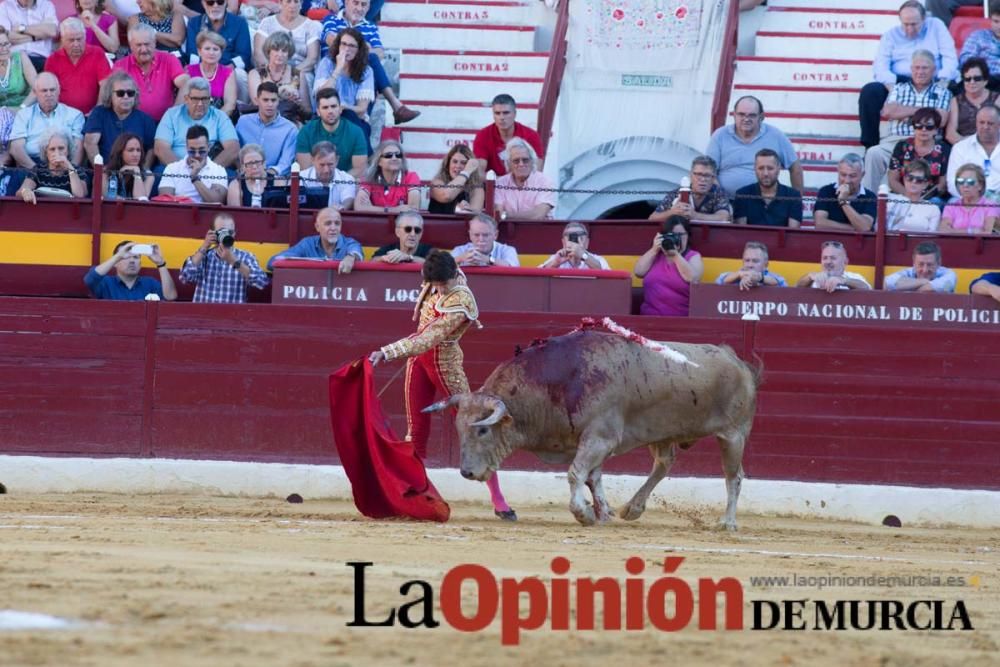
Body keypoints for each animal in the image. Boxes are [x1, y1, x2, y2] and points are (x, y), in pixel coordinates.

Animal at [422, 324, 756, 532]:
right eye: (459, 428)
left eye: (482, 430)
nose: (466, 472)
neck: (558, 382)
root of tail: (734, 358)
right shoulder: (590, 442)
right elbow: (593, 477)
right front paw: (604, 513)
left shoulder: (599, 439)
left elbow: (576, 474)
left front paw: (583, 513)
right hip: (662, 433)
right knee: (663, 464)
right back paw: (632, 509)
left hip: (733, 435)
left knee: (734, 477)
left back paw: (727, 523)